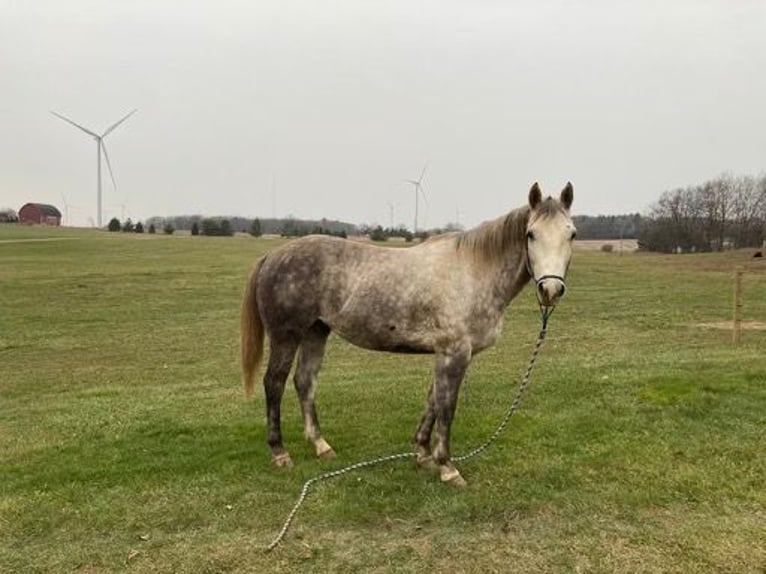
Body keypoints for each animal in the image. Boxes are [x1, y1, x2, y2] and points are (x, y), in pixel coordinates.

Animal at [242, 183, 576, 486]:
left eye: (571, 233)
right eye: (531, 234)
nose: (550, 290)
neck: (473, 272)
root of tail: (272, 256)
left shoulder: (445, 354)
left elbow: (433, 401)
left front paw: (423, 454)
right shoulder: (455, 354)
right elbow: (447, 407)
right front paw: (447, 467)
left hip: (316, 331)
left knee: (304, 382)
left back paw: (321, 446)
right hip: (286, 336)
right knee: (274, 383)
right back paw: (280, 453)